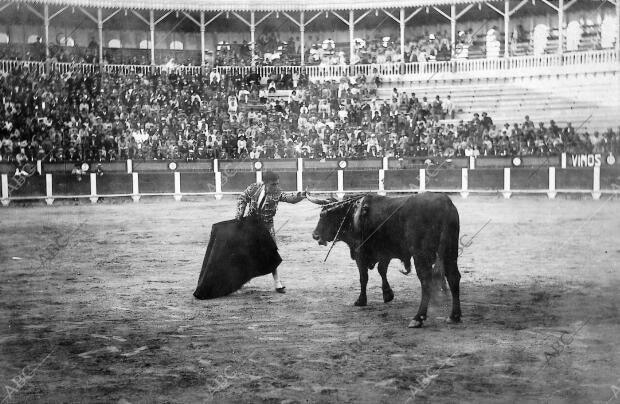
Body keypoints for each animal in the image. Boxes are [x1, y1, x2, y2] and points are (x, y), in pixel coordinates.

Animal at [308, 193, 460, 328]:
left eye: (325, 215)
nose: (315, 235)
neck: (352, 214)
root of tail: (445, 203)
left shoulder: (359, 253)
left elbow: (363, 277)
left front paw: (361, 300)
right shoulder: (384, 253)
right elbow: (382, 270)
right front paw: (387, 294)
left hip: (421, 256)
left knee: (426, 282)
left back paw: (418, 318)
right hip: (450, 252)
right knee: (453, 277)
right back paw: (454, 316)